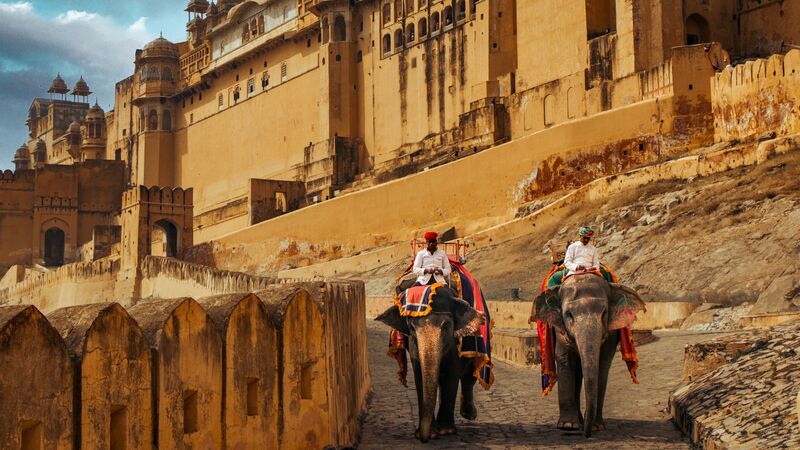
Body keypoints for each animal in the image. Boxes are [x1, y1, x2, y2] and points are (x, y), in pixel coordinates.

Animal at [378, 286, 484, 442]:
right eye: (411, 327)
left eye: (446, 326)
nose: (424, 439)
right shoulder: (413, 343)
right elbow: (419, 374)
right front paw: (431, 433)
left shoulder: (454, 341)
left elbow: (452, 373)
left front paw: (446, 431)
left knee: (469, 375)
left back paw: (469, 414)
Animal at [528, 272, 648, 438]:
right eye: (568, 314)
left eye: (604, 313)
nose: (587, 434)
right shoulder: (560, 328)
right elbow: (565, 360)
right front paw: (567, 426)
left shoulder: (611, 331)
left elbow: (603, 363)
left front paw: (597, 426)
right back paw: (577, 422)